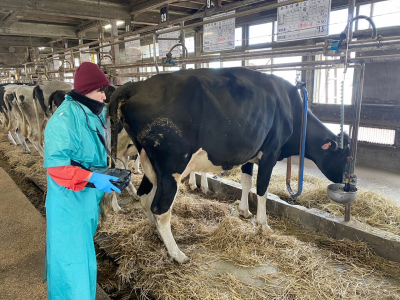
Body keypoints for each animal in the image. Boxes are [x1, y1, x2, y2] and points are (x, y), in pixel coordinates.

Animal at [109, 67, 350, 262]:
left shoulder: (250, 156)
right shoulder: (270, 153)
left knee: (145, 197)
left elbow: (246, 182)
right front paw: (263, 225)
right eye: (346, 155)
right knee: (160, 208)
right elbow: (262, 189)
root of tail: (134, 85)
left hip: (150, 164)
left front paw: (244, 212)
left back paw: (156, 233)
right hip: (171, 166)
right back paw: (177, 254)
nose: (350, 184)